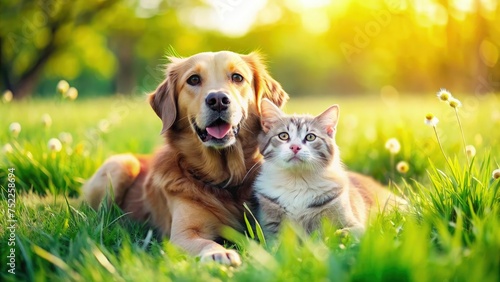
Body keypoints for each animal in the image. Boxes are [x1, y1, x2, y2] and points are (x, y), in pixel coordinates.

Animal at [83, 51, 290, 266]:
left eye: (237, 77)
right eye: (194, 79)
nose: (218, 99)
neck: (225, 181)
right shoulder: (183, 234)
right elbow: (206, 243)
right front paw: (219, 253)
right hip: (121, 165)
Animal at [254, 99, 406, 238]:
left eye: (310, 137)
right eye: (283, 136)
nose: (295, 147)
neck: (297, 180)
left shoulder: (352, 222)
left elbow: (349, 232)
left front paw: (340, 235)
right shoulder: (270, 224)